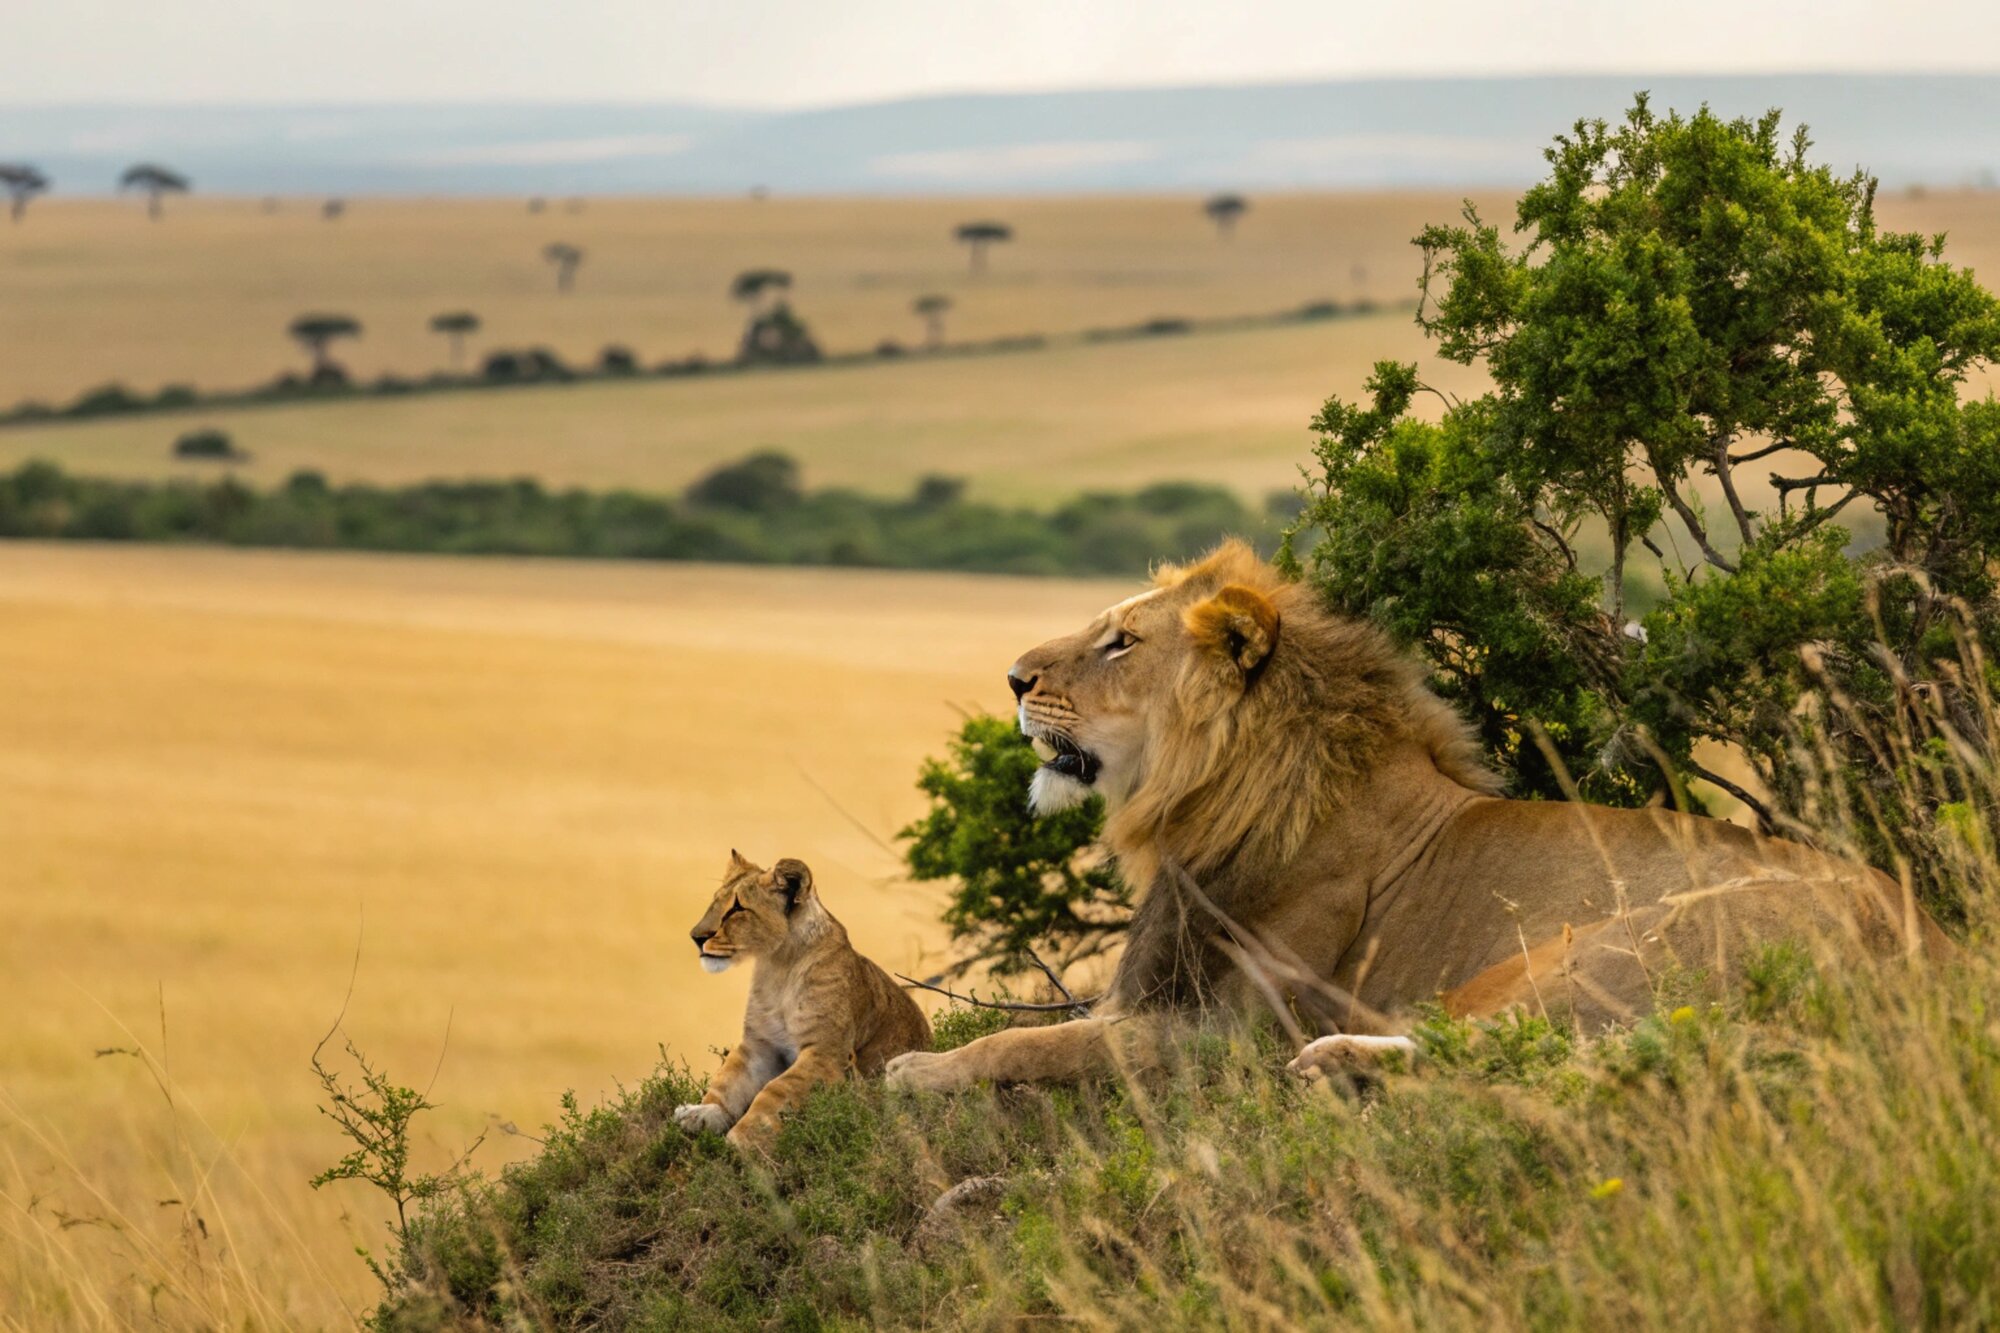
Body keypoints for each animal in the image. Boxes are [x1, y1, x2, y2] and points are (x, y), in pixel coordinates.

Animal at [676, 852, 931, 1149]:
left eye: (738, 908)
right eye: (716, 900)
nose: (696, 937)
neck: (778, 966)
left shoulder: (826, 1052)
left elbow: (774, 1091)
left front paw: (741, 1140)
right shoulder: (759, 1045)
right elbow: (727, 1081)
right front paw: (699, 1113)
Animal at [885, 541, 1948, 1092]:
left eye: (1120, 643)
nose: (1013, 678)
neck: (1215, 797)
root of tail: (1927, 943)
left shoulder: (1228, 1033)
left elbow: (1038, 1041)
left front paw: (913, 1070)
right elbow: (1060, 1030)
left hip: (1592, 949)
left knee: (1510, 1051)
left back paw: (1334, 1059)